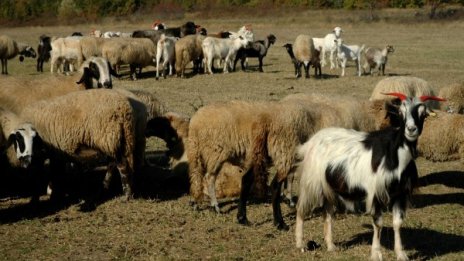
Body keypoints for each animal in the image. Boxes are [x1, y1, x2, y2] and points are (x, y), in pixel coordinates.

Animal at [296, 93, 444, 260]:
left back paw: (331, 246)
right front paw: (376, 254)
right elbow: (378, 223)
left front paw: (401, 254)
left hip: (329, 186)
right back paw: (300, 245)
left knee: (327, 212)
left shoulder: (400, 194)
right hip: (311, 182)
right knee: (301, 209)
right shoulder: (376, 192)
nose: (411, 129)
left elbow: (397, 223)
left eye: (423, 114)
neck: (395, 155)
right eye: (401, 113)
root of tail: (311, 142)